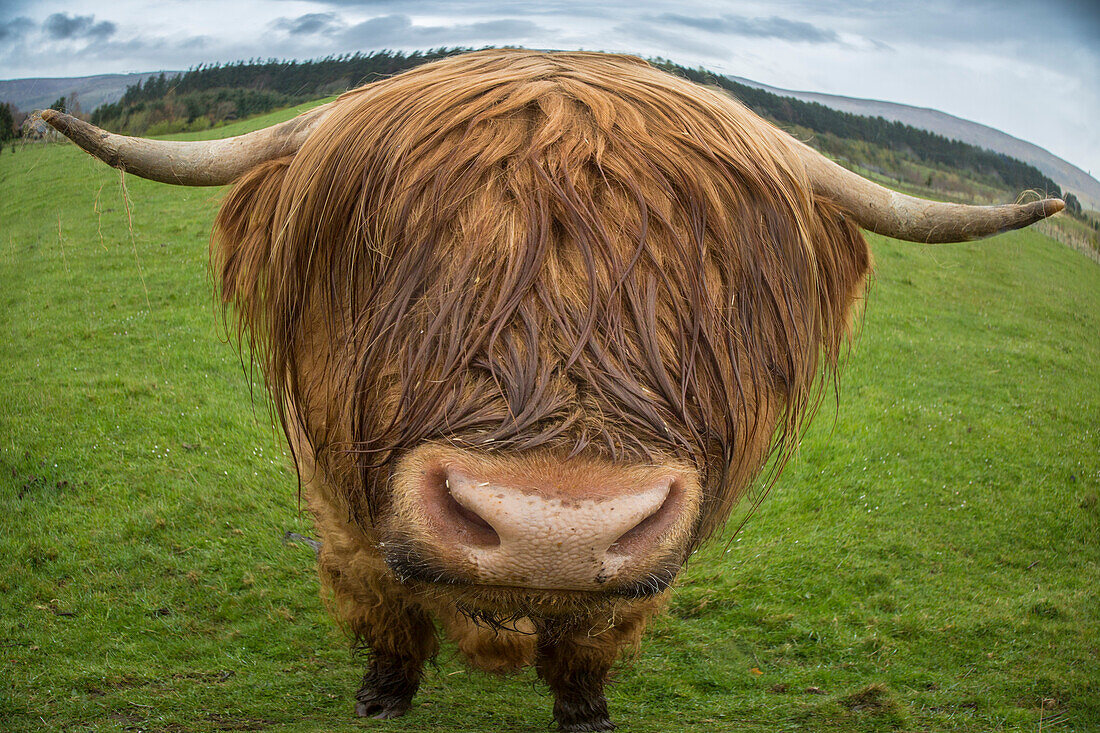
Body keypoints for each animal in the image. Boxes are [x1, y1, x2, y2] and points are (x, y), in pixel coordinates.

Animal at [38, 48, 1060, 726]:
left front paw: (586, 708)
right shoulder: (341, 507)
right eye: (389, 249)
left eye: (714, 277)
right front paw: (382, 692)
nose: (553, 524)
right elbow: (384, 602)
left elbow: (593, 634)